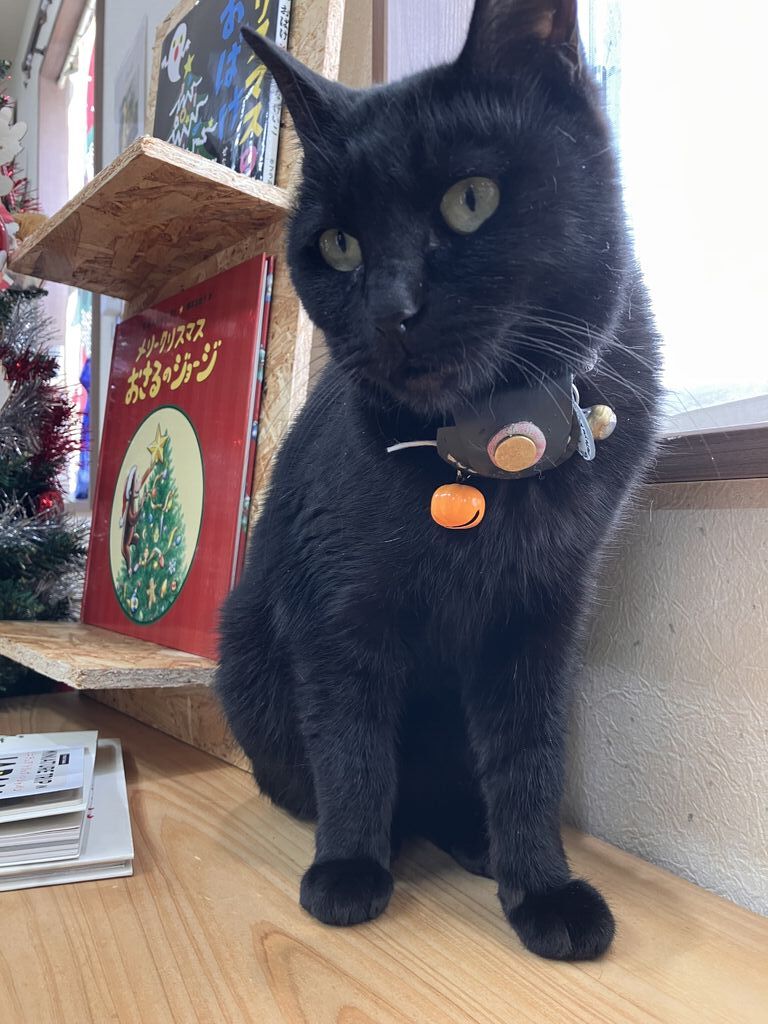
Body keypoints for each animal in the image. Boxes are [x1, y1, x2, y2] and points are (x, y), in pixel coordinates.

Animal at [217, 0, 661, 961]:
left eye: (470, 200)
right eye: (340, 244)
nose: (392, 310)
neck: (491, 450)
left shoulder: (540, 617)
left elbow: (529, 759)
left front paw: (542, 886)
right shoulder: (336, 612)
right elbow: (352, 747)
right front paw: (350, 867)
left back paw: (477, 841)